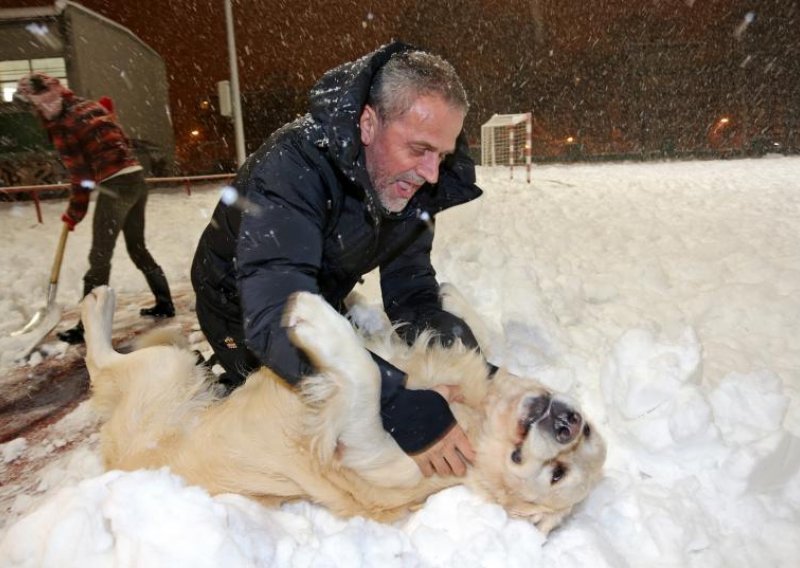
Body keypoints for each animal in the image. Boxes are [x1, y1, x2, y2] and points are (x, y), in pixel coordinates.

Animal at [83, 286, 608, 536]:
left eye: (556, 475)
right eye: (589, 435)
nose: (568, 424)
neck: (479, 419)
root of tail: (116, 464)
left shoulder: (367, 449)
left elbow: (368, 377)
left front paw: (318, 321)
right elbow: (464, 334)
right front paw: (448, 297)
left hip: (163, 373)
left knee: (102, 363)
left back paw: (97, 305)